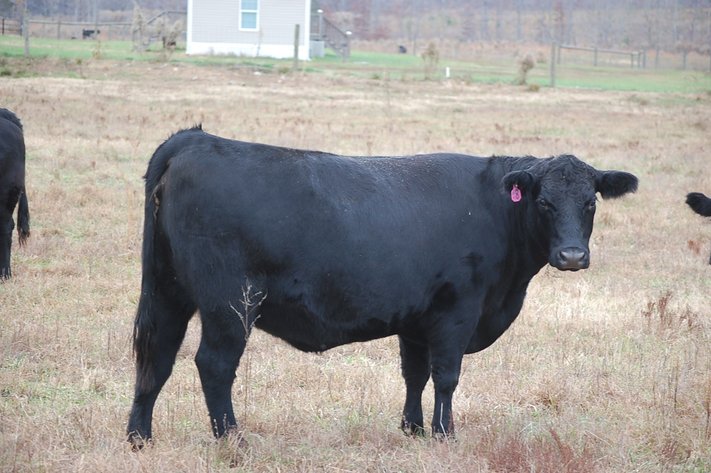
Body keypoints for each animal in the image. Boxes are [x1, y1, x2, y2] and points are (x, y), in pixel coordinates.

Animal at [127, 126, 638, 446]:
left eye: (590, 202)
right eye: (544, 202)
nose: (571, 256)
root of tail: (196, 139)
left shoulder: (416, 319)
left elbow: (415, 374)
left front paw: (412, 429)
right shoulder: (457, 311)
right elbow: (446, 376)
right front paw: (444, 434)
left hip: (169, 292)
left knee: (157, 358)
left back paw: (139, 438)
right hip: (229, 303)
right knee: (213, 365)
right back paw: (234, 442)